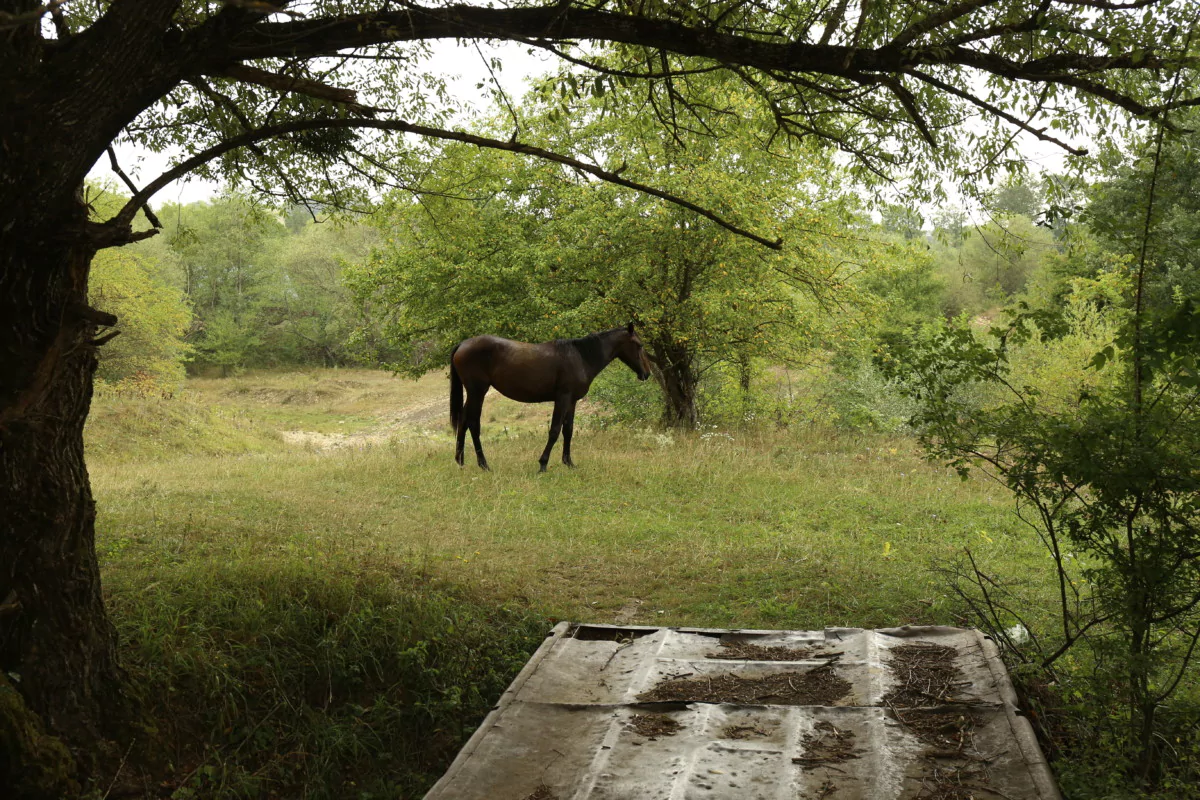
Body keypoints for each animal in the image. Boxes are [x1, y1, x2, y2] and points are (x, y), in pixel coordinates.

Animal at [451, 323, 657, 470]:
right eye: (639, 345)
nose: (647, 373)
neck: (580, 357)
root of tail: (462, 344)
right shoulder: (563, 398)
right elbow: (555, 430)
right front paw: (543, 464)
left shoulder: (572, 401)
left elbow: (568, 430)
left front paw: (569, 462)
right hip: (478, 391)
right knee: (473, 424)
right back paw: (483, 464)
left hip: (473, 394)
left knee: (463, 421)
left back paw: (460, 461)